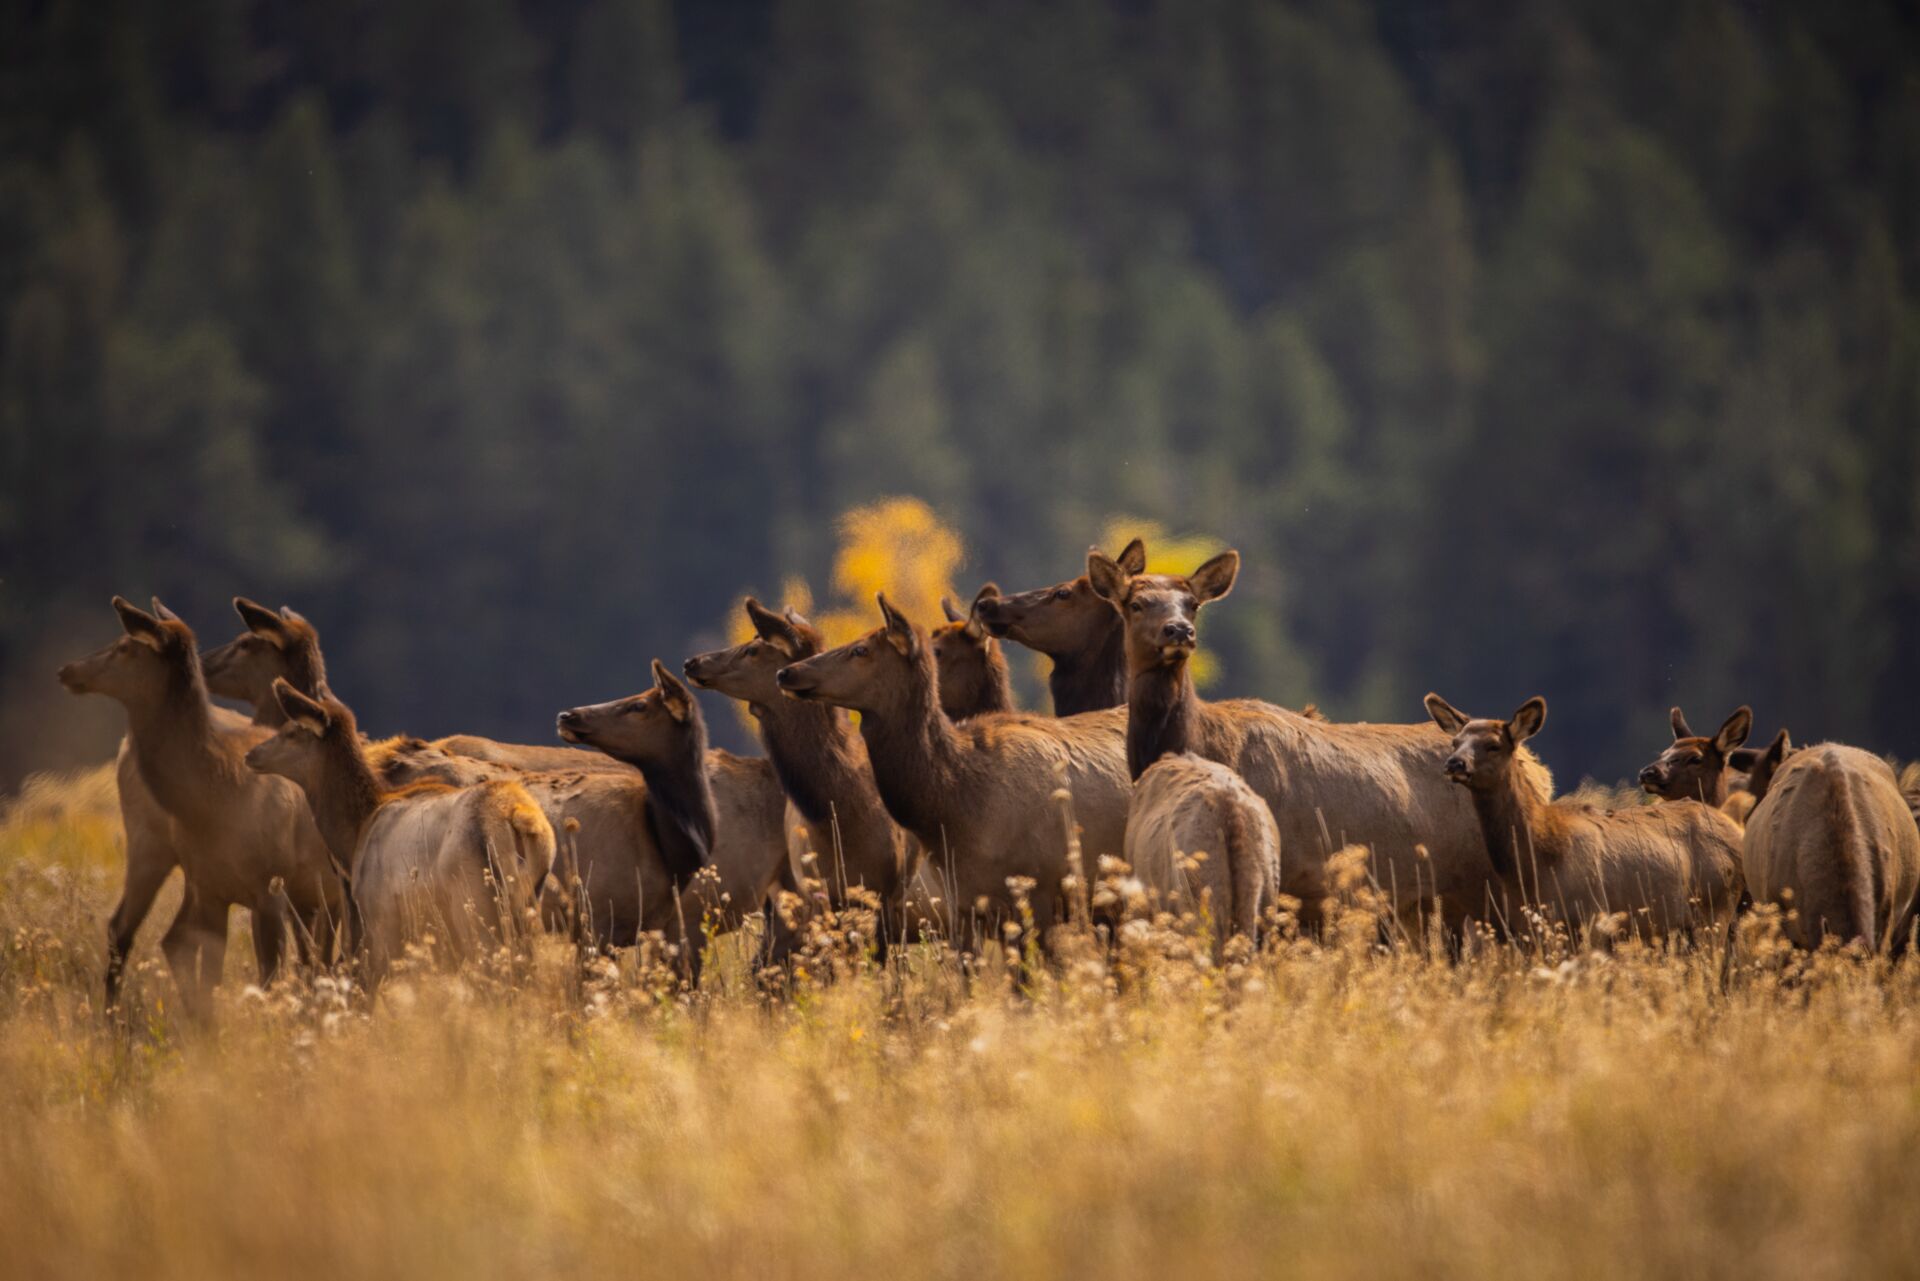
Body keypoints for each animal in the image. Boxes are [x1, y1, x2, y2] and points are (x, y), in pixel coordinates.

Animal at [57, 598, 345, 1017]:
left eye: (126, 645)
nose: (67, 669)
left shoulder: (275, 887)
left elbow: (280, 969)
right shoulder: (226, 889)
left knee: (136, 930)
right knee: (143, 931)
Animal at [245, 681, 556, 983]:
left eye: (292, 731)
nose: (252, 754)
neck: (356, 833)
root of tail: (518, 819)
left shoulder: (381, 915)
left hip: (475, 901)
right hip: (528, 902)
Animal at [1425, 694, 1744, 942]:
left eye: (1493, 744)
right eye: (1455, 742)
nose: (1455, 763)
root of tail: (1734, 830)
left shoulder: (1592, 915)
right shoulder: (1527, 926)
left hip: (1715, 906)